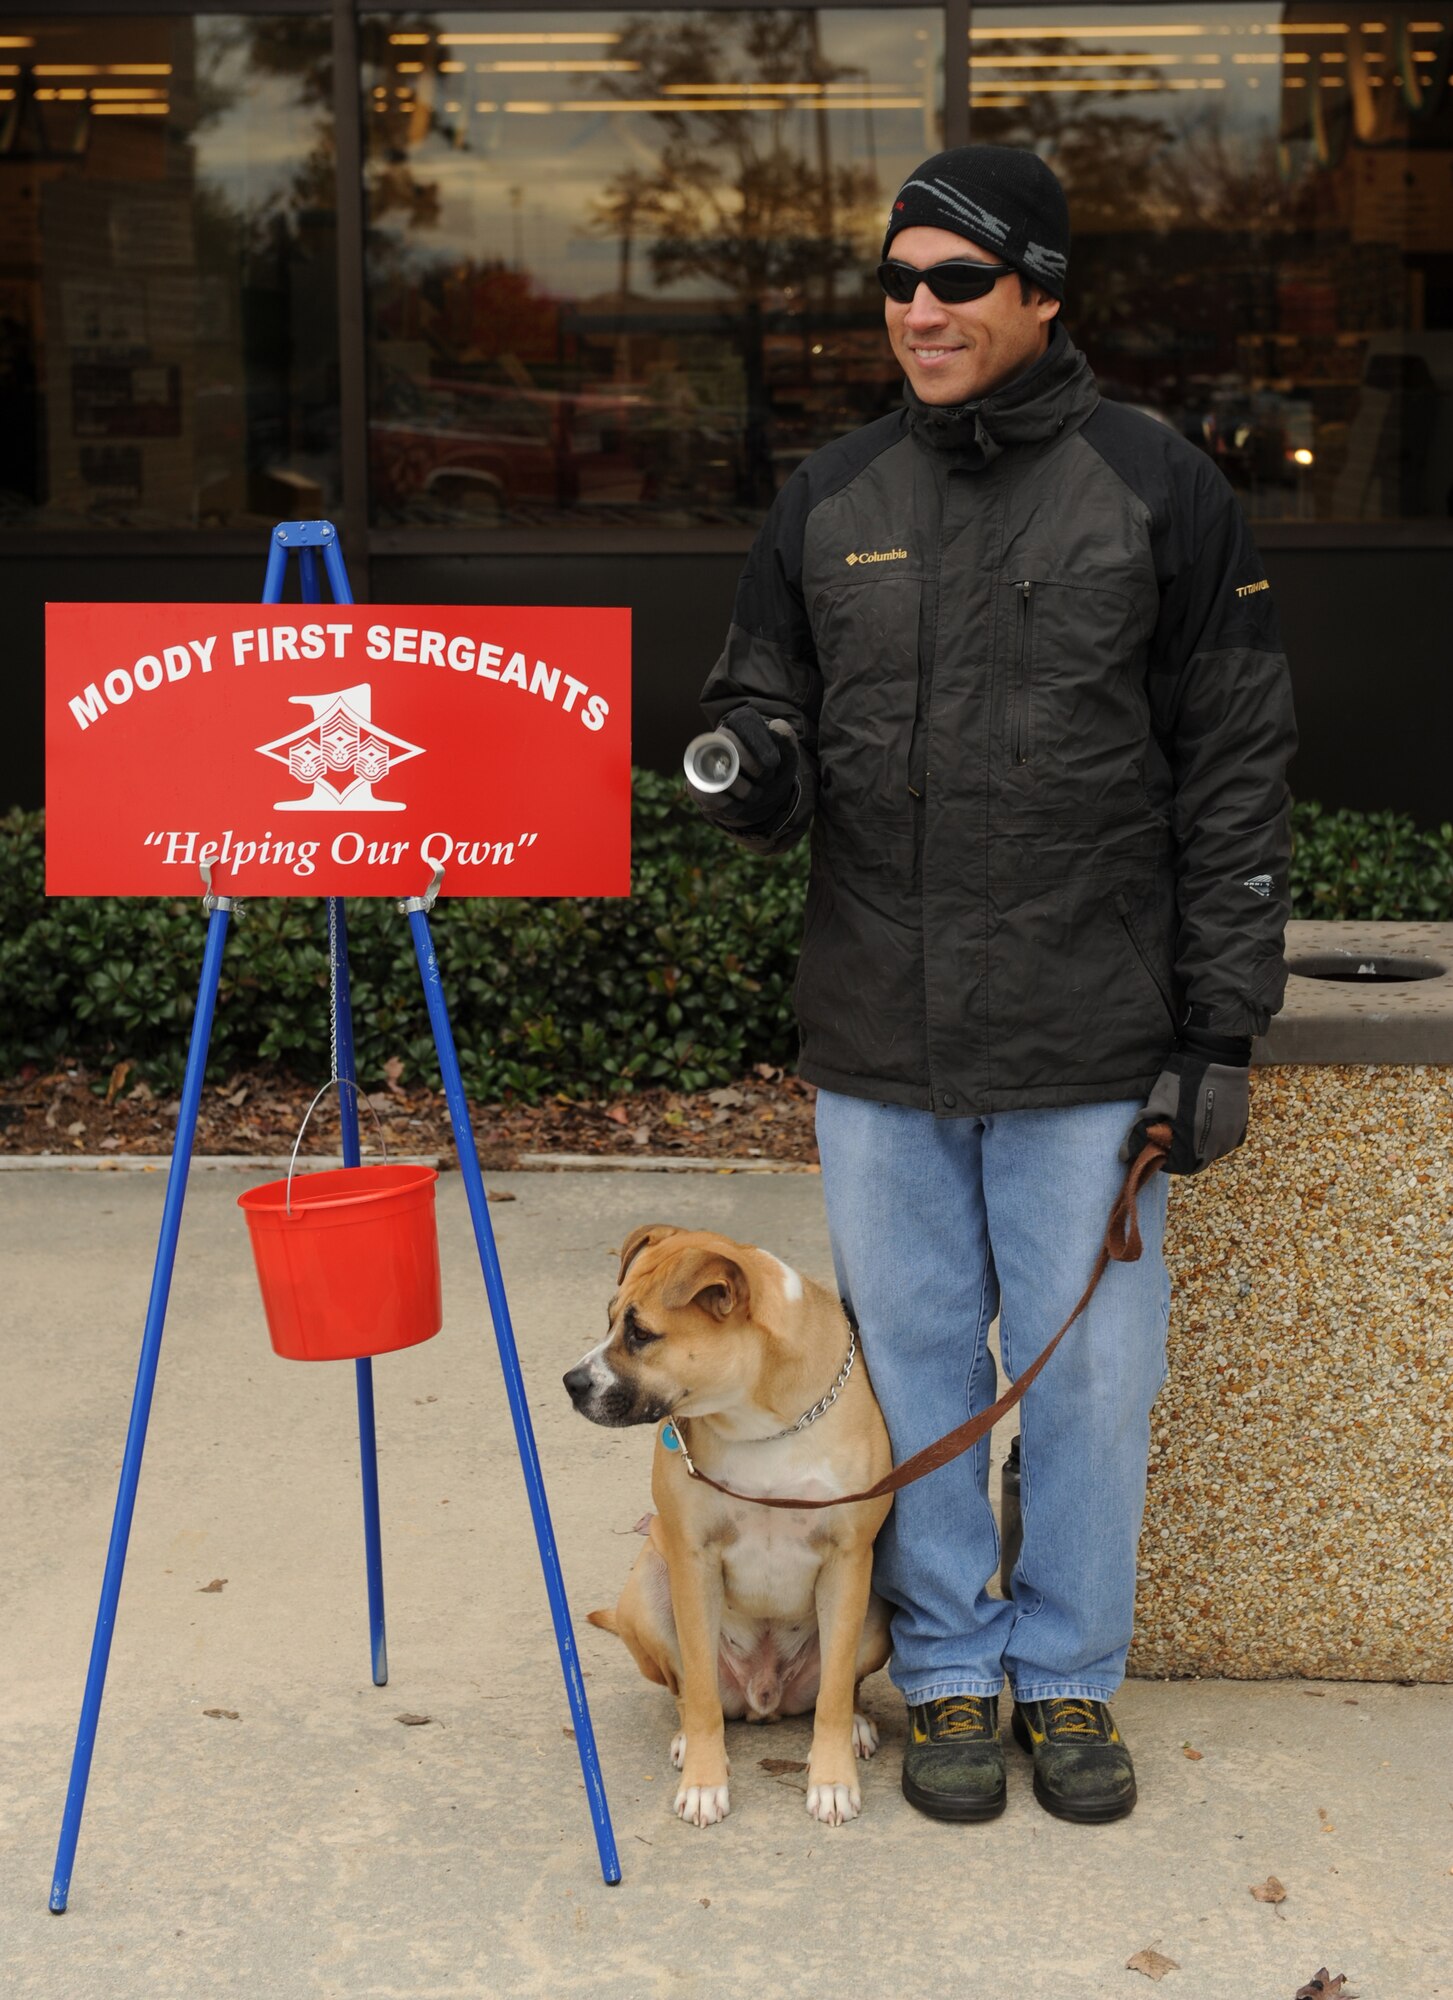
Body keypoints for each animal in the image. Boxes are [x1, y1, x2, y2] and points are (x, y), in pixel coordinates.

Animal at [564, 1216, 892, 1832]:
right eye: (610, 1318)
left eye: (640, 1333)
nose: (571, 1382)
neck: (759, 1423)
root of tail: (763, 1695)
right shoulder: (694, 1561)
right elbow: (699, 1696)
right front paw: (704, 1782)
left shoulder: (848, 1557)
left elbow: (835, 1694)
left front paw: (832, 1778)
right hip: (647, 1593)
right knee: (689, 1692)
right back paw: (687, 1741)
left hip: (879, 1607)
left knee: (838, 1688)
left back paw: (857, 1725)